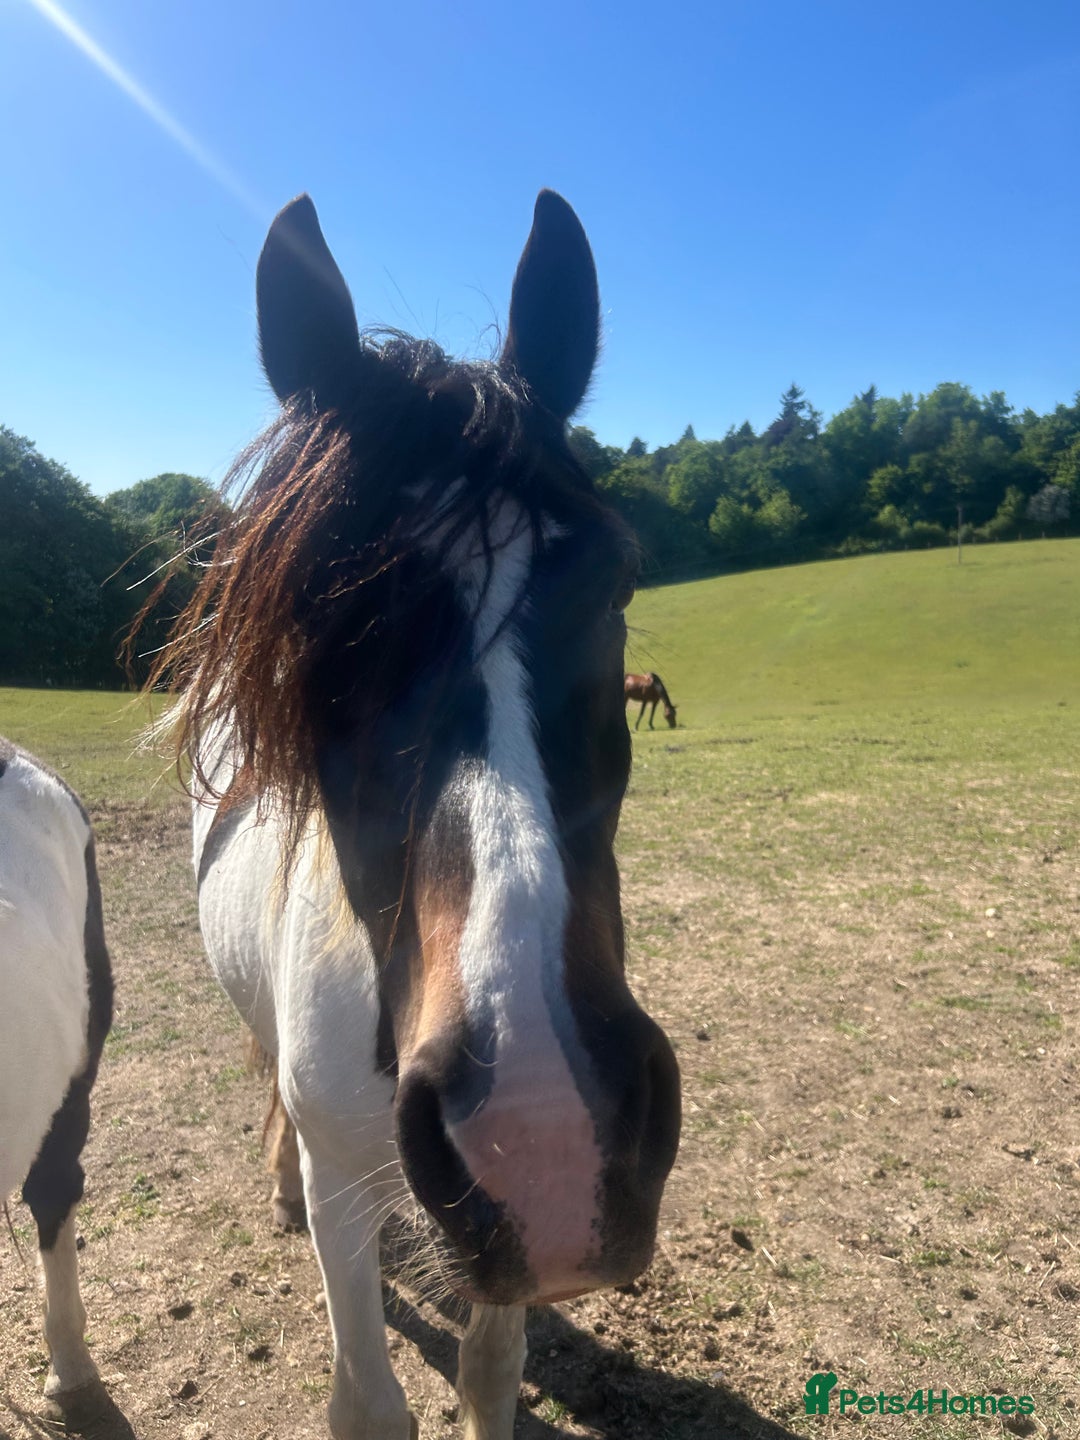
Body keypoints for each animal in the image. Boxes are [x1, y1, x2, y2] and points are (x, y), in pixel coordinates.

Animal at [154, 190, 681, 1440]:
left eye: (614, 589)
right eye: (320, 634)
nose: (545, 1130)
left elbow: (492, 1373)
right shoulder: (350, 1186)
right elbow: (369, 1401)